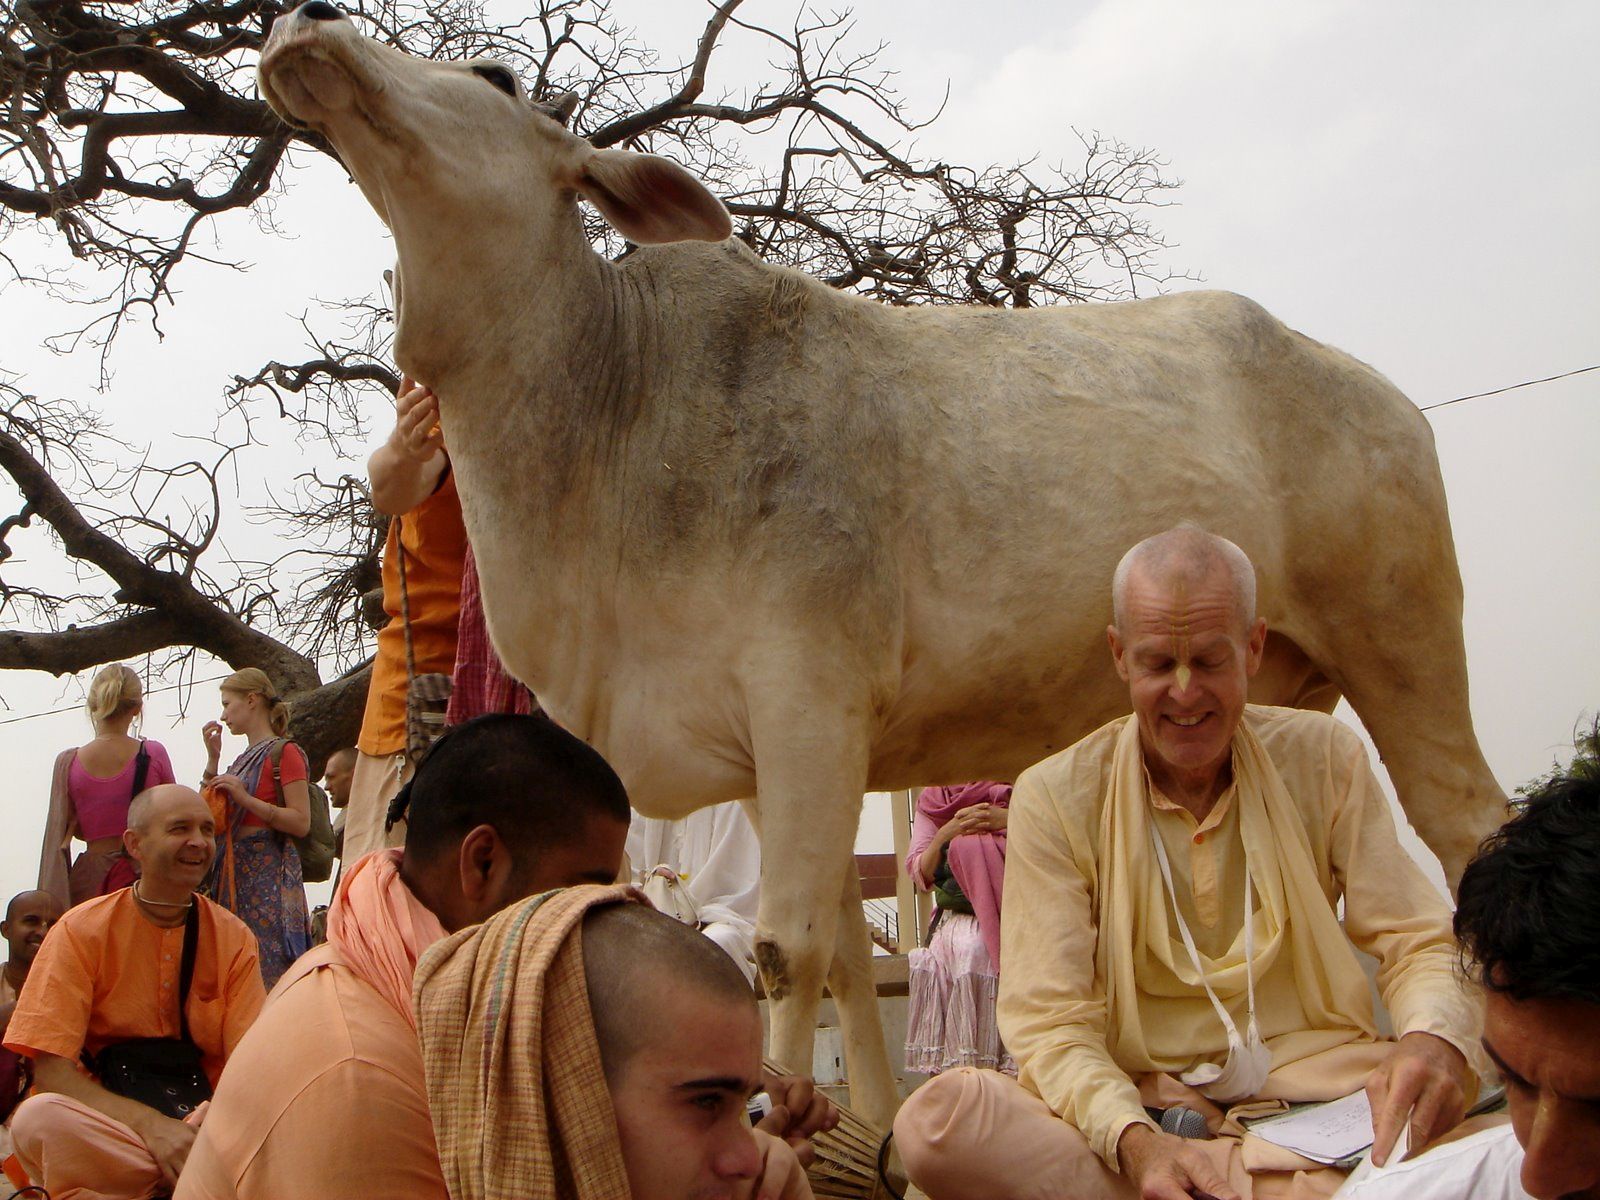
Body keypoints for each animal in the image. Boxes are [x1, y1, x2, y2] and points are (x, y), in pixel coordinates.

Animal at [262, 2, 1510, 1126]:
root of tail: (1379, 394)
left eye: (498, 76)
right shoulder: (768, 752)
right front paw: (871, 1132)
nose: (307, 22)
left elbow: (784, 945)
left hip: (1402, 653)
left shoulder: (807, 700)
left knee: (1468, 828)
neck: (610, 405)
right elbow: (845, 964)